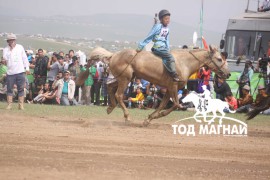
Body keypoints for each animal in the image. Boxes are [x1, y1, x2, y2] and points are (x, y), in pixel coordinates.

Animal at [76, 46, 230, 125]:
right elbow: (175, 104)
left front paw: (149, 118)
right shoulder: (173, 87)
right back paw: (127, 116)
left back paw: (110, 107)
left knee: (109, 88)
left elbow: (163, 104)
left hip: (123, 78)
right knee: (119, 95)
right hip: (125, 79)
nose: (228, 74)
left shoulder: (169, 89)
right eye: (219, 59)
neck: (183, 63)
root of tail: (113, 55)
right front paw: (155, 116)